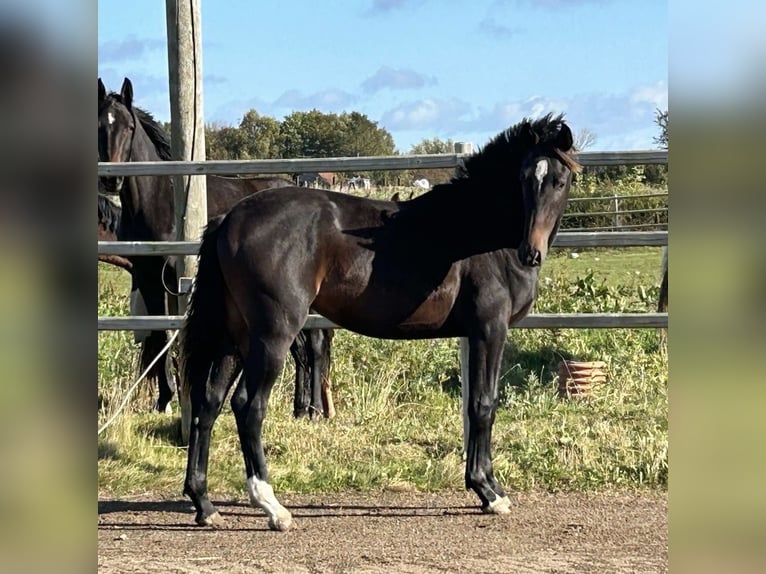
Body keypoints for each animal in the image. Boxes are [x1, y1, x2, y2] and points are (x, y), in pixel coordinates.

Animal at [98, 77, 332, 418]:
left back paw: (313, 409)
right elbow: (159, 334)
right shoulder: (149, 280)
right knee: (299, 345)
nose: (111, 180)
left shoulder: (176, 281)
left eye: (129, 127)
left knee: (314, 342)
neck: (159, 202)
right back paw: (299, 408)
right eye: (100, 126)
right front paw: (164, 399)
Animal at [178, 112, 576, 532]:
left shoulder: (476, 335)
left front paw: (483, 486)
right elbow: (485, 404)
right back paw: (273, 507)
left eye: (559, 180)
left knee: (209, 402)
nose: (531, 253)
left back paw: (204, 504)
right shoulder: (490, 329)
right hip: (272, 334)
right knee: (248, 406)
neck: (479, 234)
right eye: (524, 178)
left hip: (235, 335)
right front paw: (489, 492)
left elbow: (473, 405)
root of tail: (230, 218)